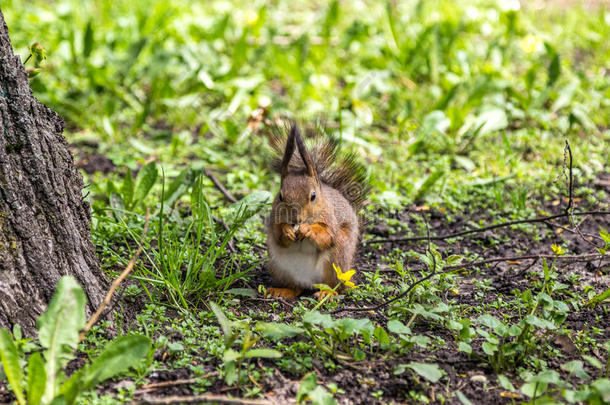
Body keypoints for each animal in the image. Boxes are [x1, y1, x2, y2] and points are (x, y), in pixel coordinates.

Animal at [262, 121, 366, 298]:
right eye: (280, 196)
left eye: (313, 196)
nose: (296, 219)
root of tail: (310, 282)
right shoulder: (275, 218)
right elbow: (277, 234)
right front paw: (287, 230)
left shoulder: (330, 219)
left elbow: (327, 236)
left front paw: (308, 229)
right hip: (280, 268)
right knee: (296, 288)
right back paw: (282, 290)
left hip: (337, 261)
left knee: (337, 287)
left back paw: (327, 294)